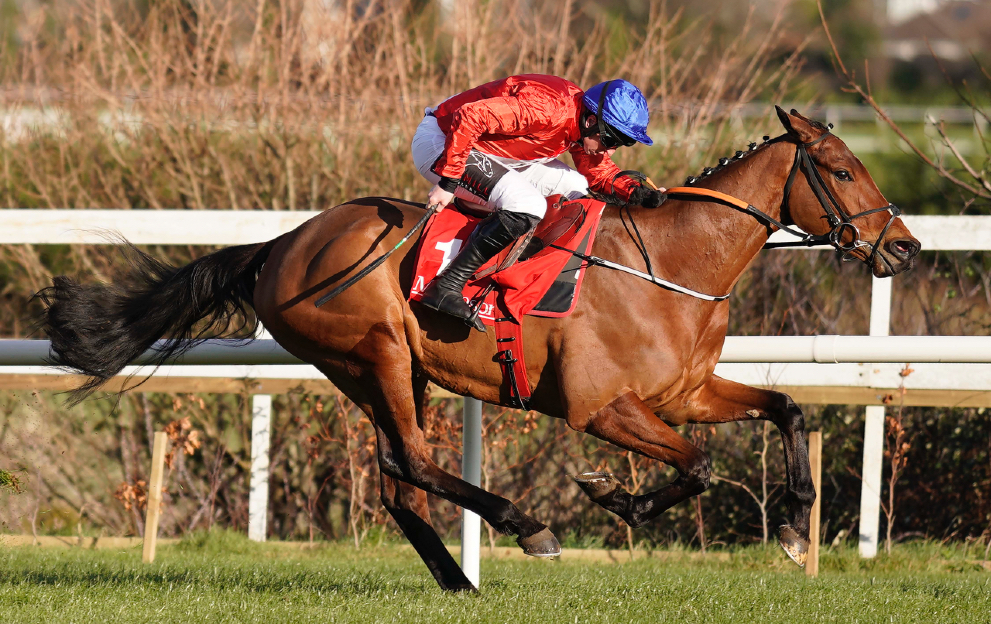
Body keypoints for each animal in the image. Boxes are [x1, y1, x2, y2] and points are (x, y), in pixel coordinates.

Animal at [37, 107, 920, 591]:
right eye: (842, 170)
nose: (904, 248)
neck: (669, 265)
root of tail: (283, 243)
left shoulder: (684, 393)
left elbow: (787, 407)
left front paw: (794, 527)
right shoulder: (600, 408)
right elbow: (696, 466)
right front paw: (611, 497)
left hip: (384, 372)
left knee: (397, 480)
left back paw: (460, 581)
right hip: (378, 355)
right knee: (414, 463)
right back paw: (523, 525)